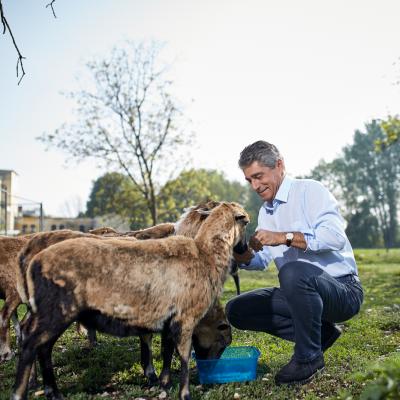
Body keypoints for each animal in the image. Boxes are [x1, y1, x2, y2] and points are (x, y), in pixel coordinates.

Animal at [12, 203, 248, 400]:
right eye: (224, 340)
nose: (245, 249)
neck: (204, 252)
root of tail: (32, 257)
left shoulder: (165, 316)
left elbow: (163, 347)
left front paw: (161, 380)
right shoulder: (183, 318)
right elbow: (178, 354)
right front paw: (178, 389)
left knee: (39, 343)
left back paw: (51, 390)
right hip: (56, 310)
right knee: (31, 342)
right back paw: (23, 389)